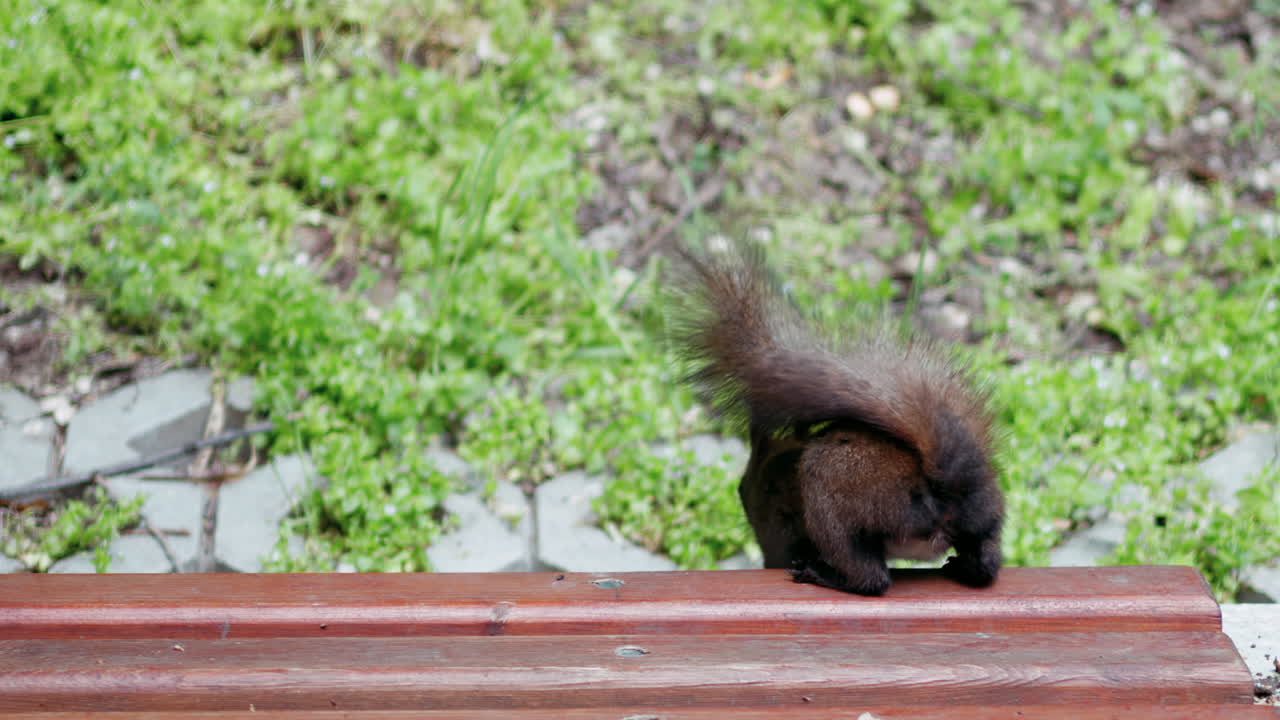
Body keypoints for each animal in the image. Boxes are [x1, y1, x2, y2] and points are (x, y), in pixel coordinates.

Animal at [669, 241, 1003, 596]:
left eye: (742, 490)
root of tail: (943, 494)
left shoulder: (777, 531)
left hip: (832, 499)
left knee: (870, 578)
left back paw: (822, 575)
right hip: (985, 522)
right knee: (985, 563)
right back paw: (965, 568)